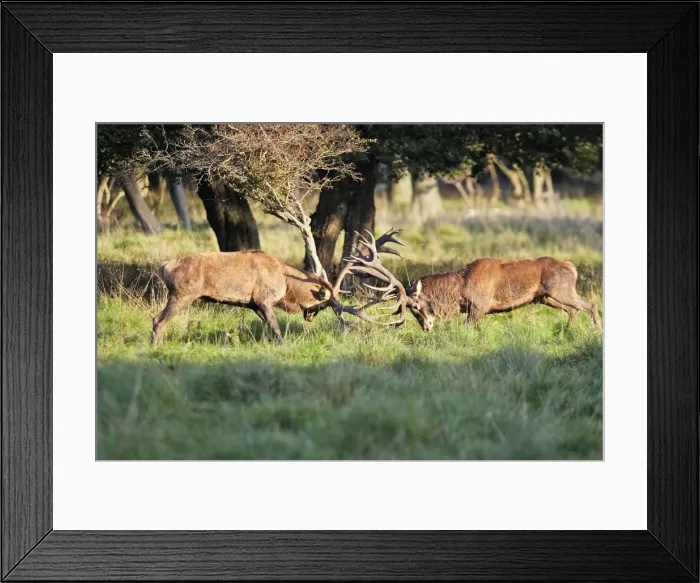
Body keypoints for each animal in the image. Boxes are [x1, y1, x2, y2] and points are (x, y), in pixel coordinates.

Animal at [151, 230, 408, 345]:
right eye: (323, 304)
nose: (309, 317)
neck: (286, 285)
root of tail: (164, 267)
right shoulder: (264, 299)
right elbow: (276, 329)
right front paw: (282, 347)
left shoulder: (254, 304)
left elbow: (269, 328)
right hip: (182, 294)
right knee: (158, 321)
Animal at [402, 257, 601, 332]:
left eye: (415, 306)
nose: (426, 328)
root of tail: (573, 268)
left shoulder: (480, 306)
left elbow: (466, 328)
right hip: (546, 297)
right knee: (573, 310)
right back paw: (566, 331)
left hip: (561, 290)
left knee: (590, 305)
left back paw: (596, 329)